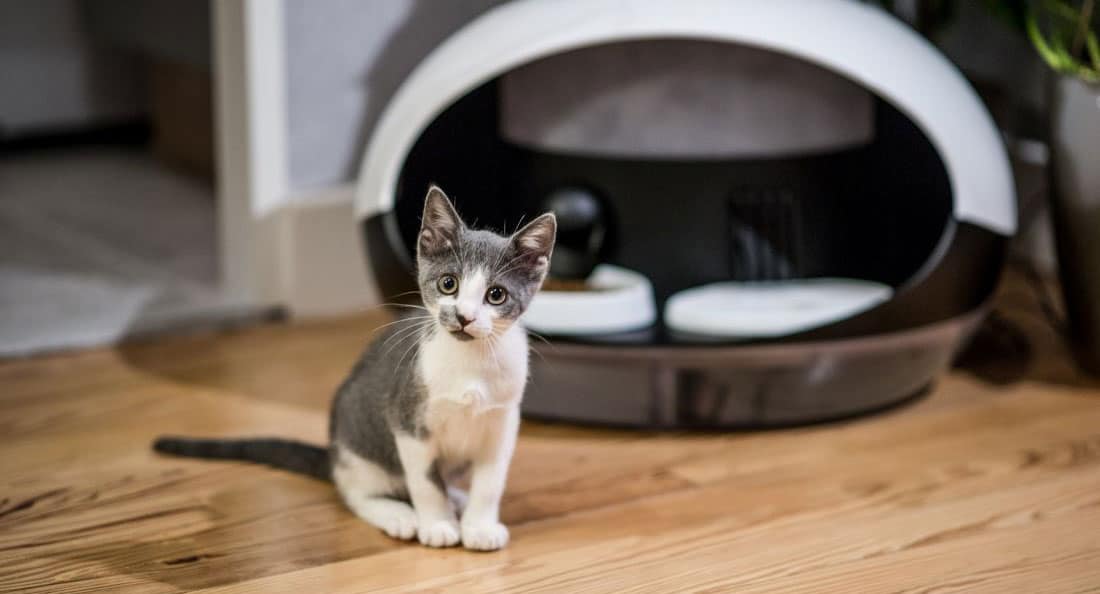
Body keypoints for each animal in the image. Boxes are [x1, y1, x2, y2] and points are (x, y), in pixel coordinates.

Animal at [152, 185, 558, 552]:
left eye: (496, 295)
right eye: (448, 284)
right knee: (355, 492)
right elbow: (425, 482)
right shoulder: (407, 419)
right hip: (358, 446)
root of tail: (333, 454)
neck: (470, 362)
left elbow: (490, 482)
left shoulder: (503, 421)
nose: (464, 317)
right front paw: (438, 524)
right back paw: (400, 515)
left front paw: (479, 527)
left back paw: (456, 498)